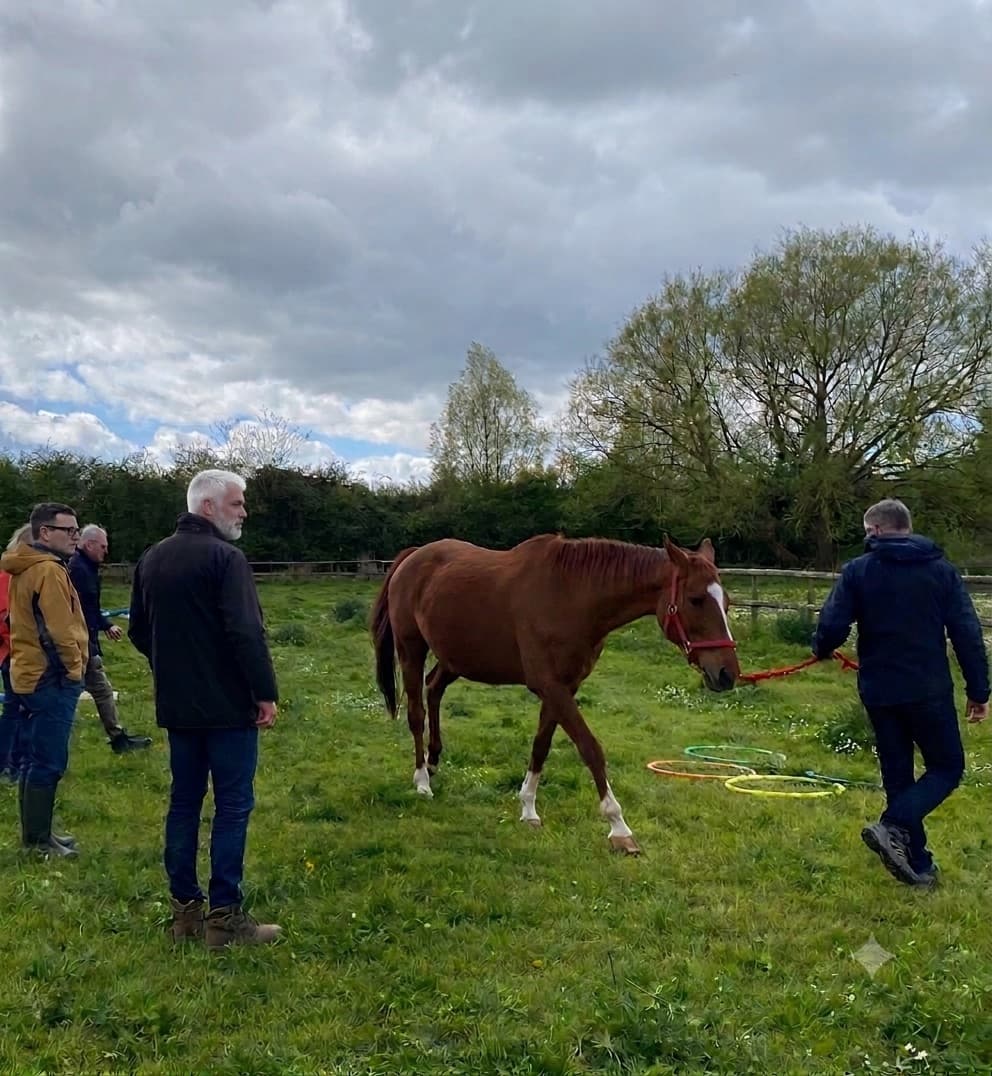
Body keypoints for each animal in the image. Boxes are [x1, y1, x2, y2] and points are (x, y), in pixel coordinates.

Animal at [369, 533, 740, 855]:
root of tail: (412, 557)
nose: (727, 674)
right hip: (411, 649)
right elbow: (590, 749)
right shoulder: (551, 686)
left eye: (727, 602)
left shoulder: (563, 687)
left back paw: (433, 762)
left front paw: (528, 808)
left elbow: (542, 744)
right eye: (695, 599)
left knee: (434, 689)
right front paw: (619, 828)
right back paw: (422, 781)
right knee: (416, 712)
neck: (571, 596)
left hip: (455, 658)